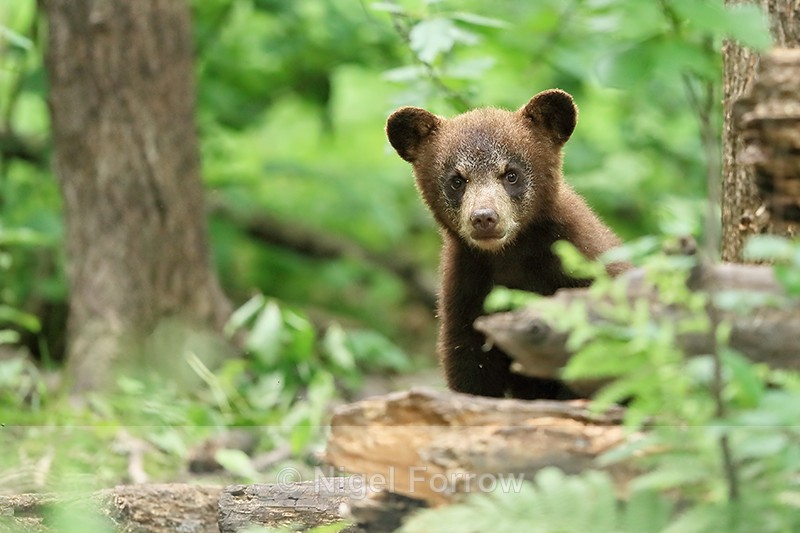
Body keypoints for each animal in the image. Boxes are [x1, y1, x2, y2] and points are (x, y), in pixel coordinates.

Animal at [386, 89, 625, 400]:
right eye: (457, 180)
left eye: (511, 174)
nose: (484, 217)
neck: (511, 259)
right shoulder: (467, 295)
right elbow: (470, 368)